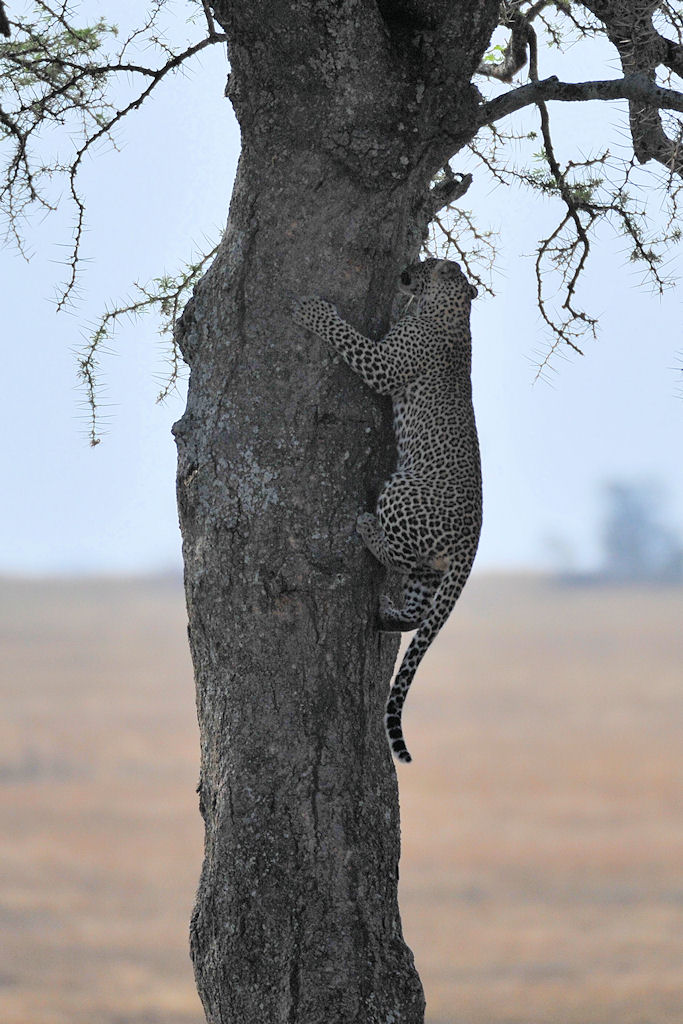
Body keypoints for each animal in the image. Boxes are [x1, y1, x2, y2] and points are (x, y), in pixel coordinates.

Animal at [292, 258, 482, 764]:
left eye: (430, 263)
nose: (407, 268)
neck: (453, 308)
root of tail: (471, 543)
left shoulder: (383, 365)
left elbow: (347, 336)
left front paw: (312, 309)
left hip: (401, 488)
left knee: (397, 554)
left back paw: (365, 528)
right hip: (430, 570)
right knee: (417, 608)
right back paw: (384, 613)